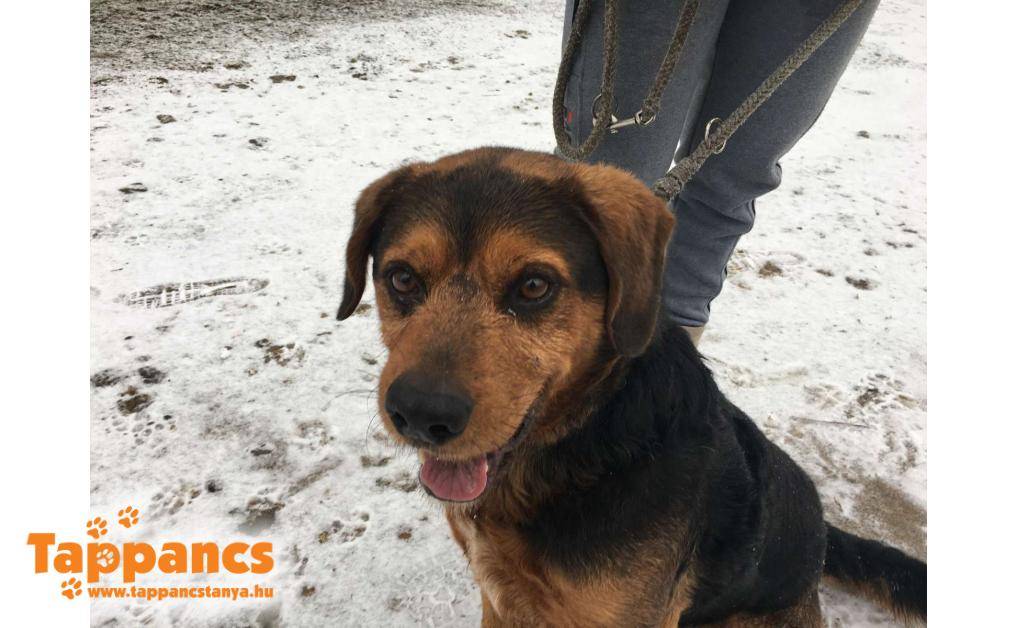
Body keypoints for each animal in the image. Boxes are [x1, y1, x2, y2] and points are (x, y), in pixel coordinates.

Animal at [337, 147, 927, 627]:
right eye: (403, 278)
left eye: (534, 286)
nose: (419, 415)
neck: (587, 441)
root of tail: (824, 537)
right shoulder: (498, 597)